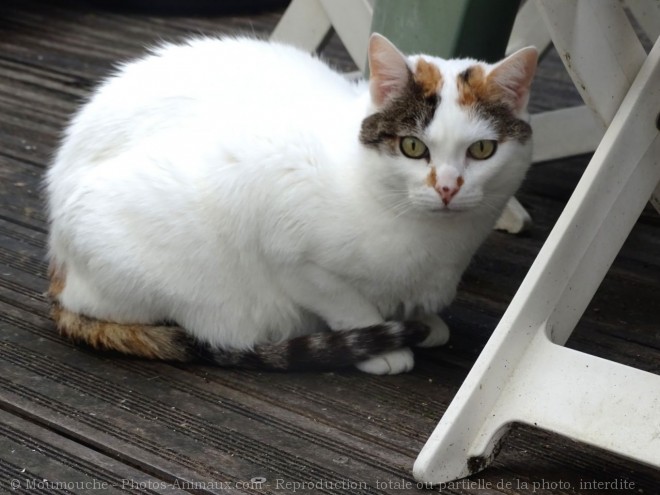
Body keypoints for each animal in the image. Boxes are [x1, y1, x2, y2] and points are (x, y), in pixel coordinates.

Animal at [43, 34, 536, 376]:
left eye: (482, 151)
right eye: (413, 147)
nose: (448, 188)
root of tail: (59, 267)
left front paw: (423, 319)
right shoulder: (286, 242)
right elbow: (346, 301)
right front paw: (385, 345)